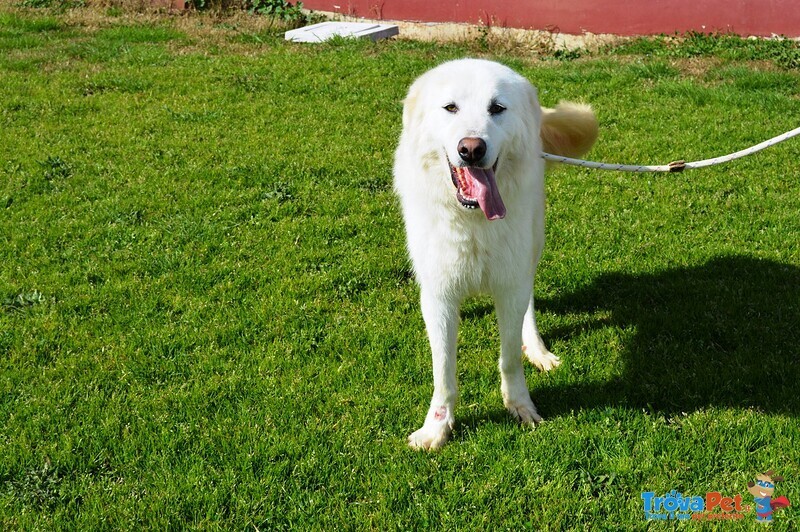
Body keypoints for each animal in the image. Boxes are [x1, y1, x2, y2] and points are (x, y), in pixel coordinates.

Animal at [390, 59, 596, 448]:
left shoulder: (509, 285)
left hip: (532, 246)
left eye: (497, 108)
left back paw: (538, 350)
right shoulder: (439, 295)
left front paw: (519, 405)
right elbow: (443, 371)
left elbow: (509, 358)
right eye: (450, 108)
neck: (473, 221)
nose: (471, 148)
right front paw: (437, 427)